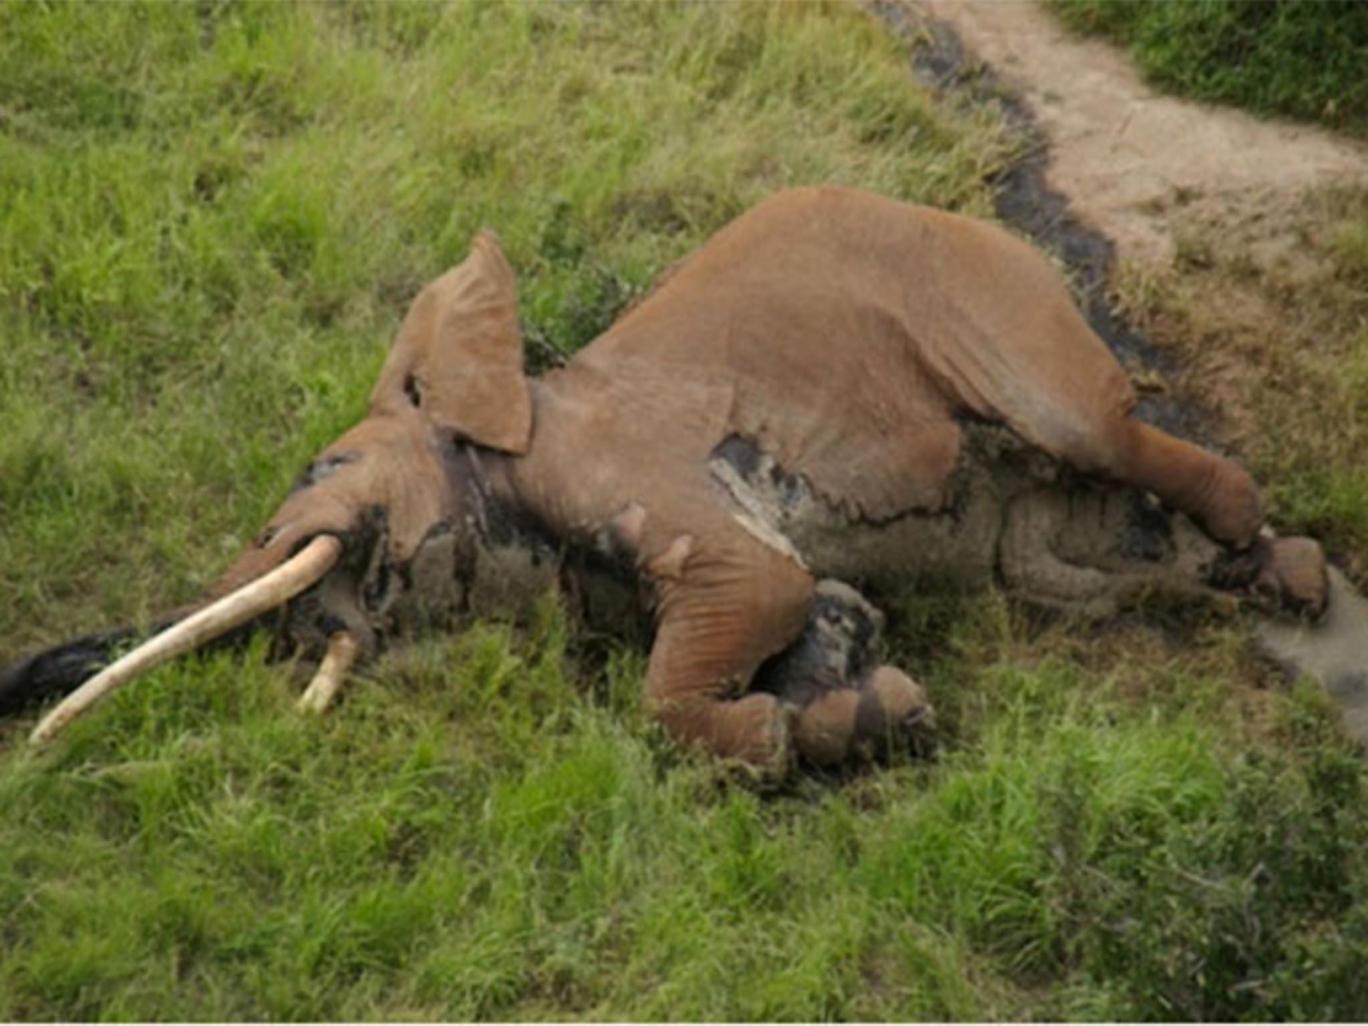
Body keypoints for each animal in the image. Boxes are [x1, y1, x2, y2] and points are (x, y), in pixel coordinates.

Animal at [0, 186, 1334, 773]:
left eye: (318, 468)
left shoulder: (625, 466)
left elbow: (749, 601)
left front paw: (791, 736)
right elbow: (824, 610)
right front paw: (872, 712)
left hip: (999, 309)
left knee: (1099, 431)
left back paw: (1290, 575)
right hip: (1032, 541)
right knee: (1061, 570)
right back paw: (1250, 583)